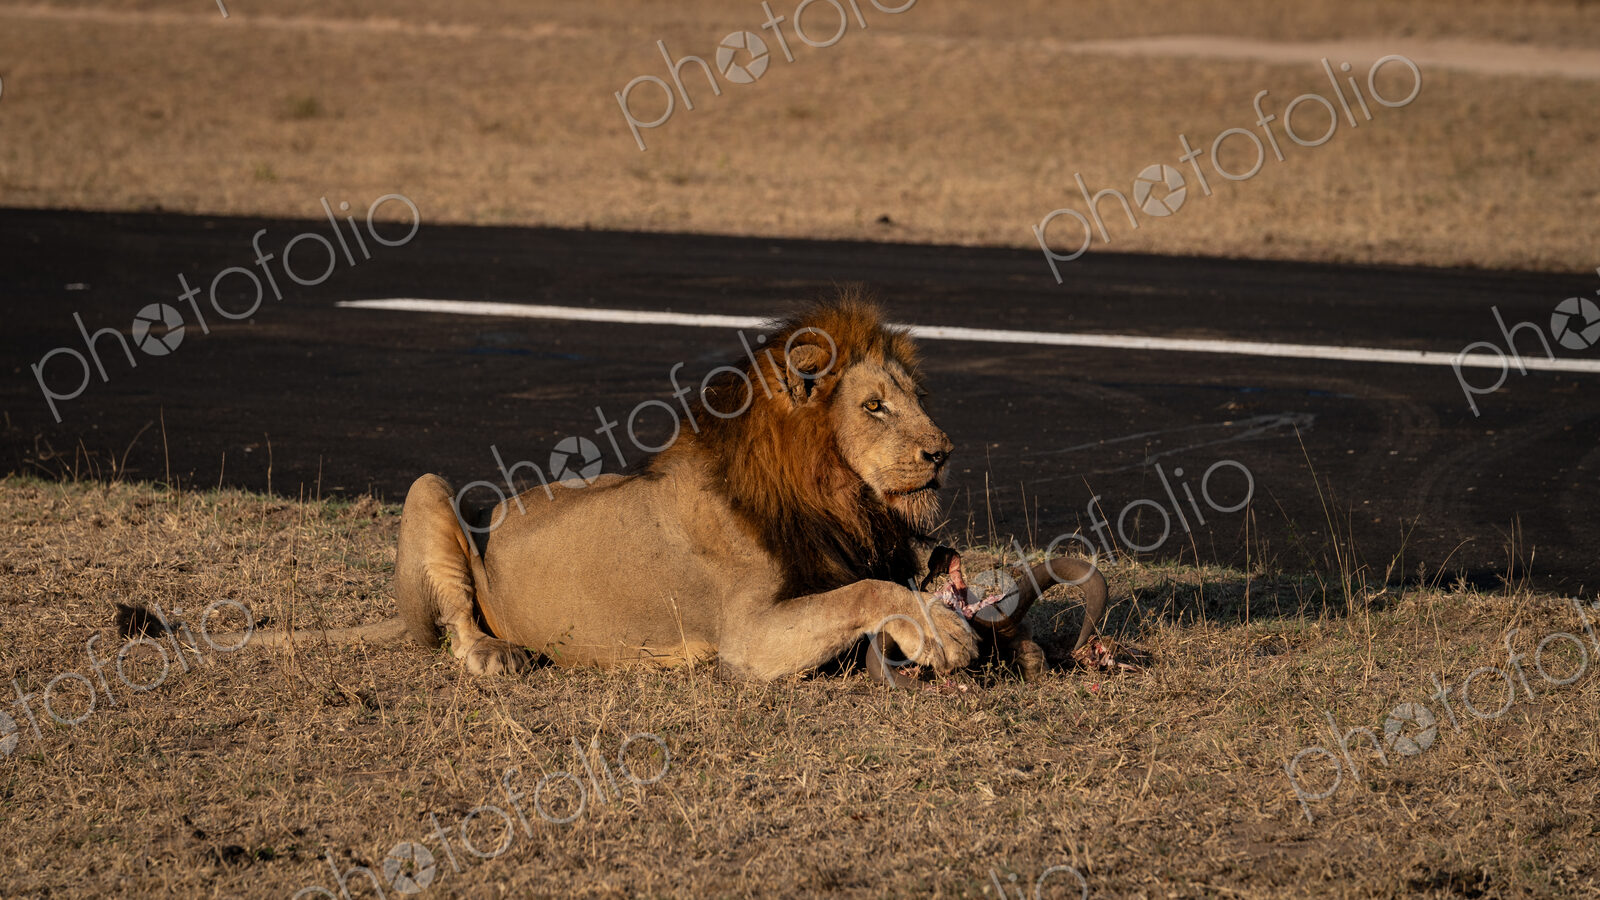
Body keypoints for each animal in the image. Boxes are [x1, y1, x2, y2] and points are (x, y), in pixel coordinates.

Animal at [206, 293, 1107, 682]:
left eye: (917, 396)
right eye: (875, 406)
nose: (943, 452)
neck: (832, 495)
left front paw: (1017, 642)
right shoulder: (747, 638)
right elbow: (870, 591)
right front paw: (941, 634)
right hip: (431, 490)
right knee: (458, 626)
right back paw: (499, 655)